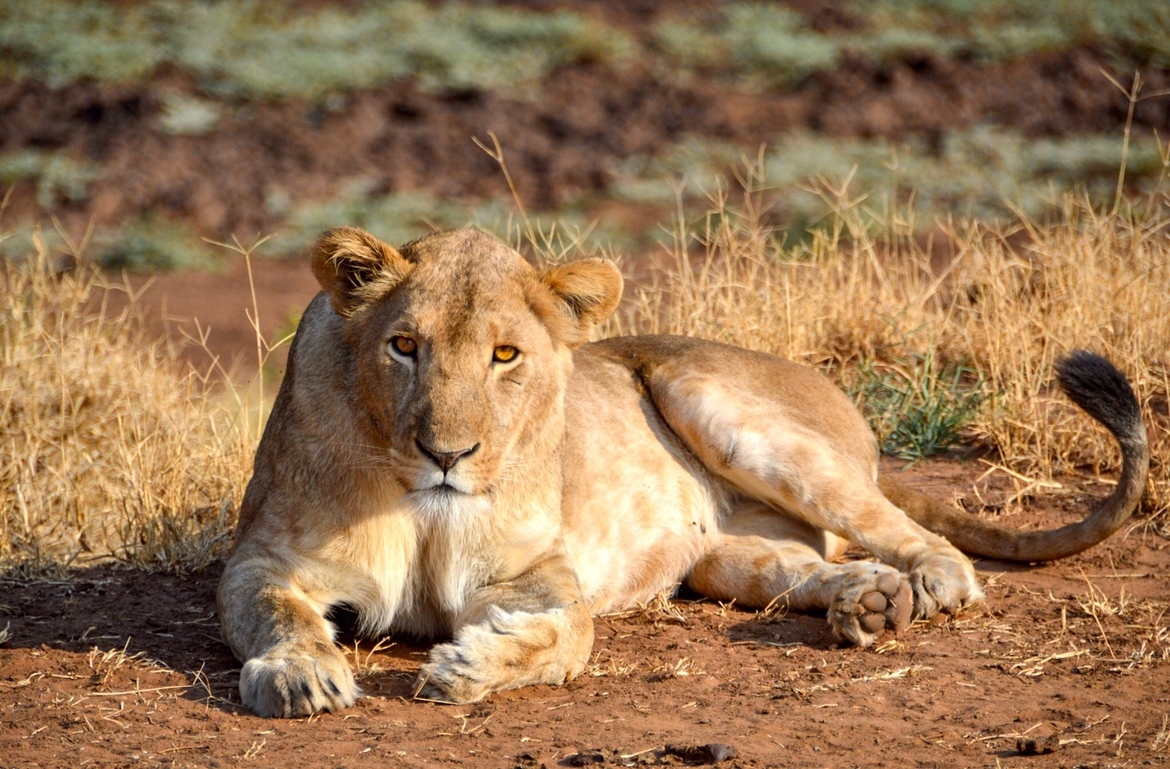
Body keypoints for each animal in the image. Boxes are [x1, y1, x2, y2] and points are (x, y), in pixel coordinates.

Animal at [218, 227, 1148, 718]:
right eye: (404, 345)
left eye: (506, 355)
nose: (448, 454)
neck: (419, 497)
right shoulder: (265, 555)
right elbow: (275, 611)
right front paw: (300, 671)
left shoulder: (535, 570)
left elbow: (573, 632)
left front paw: (470, 666)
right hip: (726, 555)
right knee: (801, 566)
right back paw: (872, 603)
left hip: (712, 398)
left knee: (923, 539)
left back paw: (925, 586)